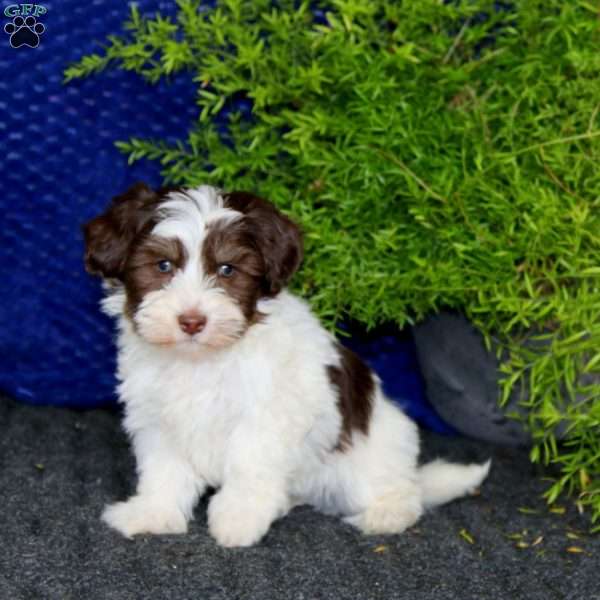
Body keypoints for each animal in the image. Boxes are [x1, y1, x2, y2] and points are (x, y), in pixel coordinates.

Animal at [84, 183, 490, 548]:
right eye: (163, 265)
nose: (192, 321)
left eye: (227, 270)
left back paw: (387, 513)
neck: (203, 359)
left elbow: (248, 463)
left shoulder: (266, 416)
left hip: (370, 453)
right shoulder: (158, 418)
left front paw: (238, 518)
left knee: (399, 491)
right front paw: (154, 513)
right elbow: (164, 469)